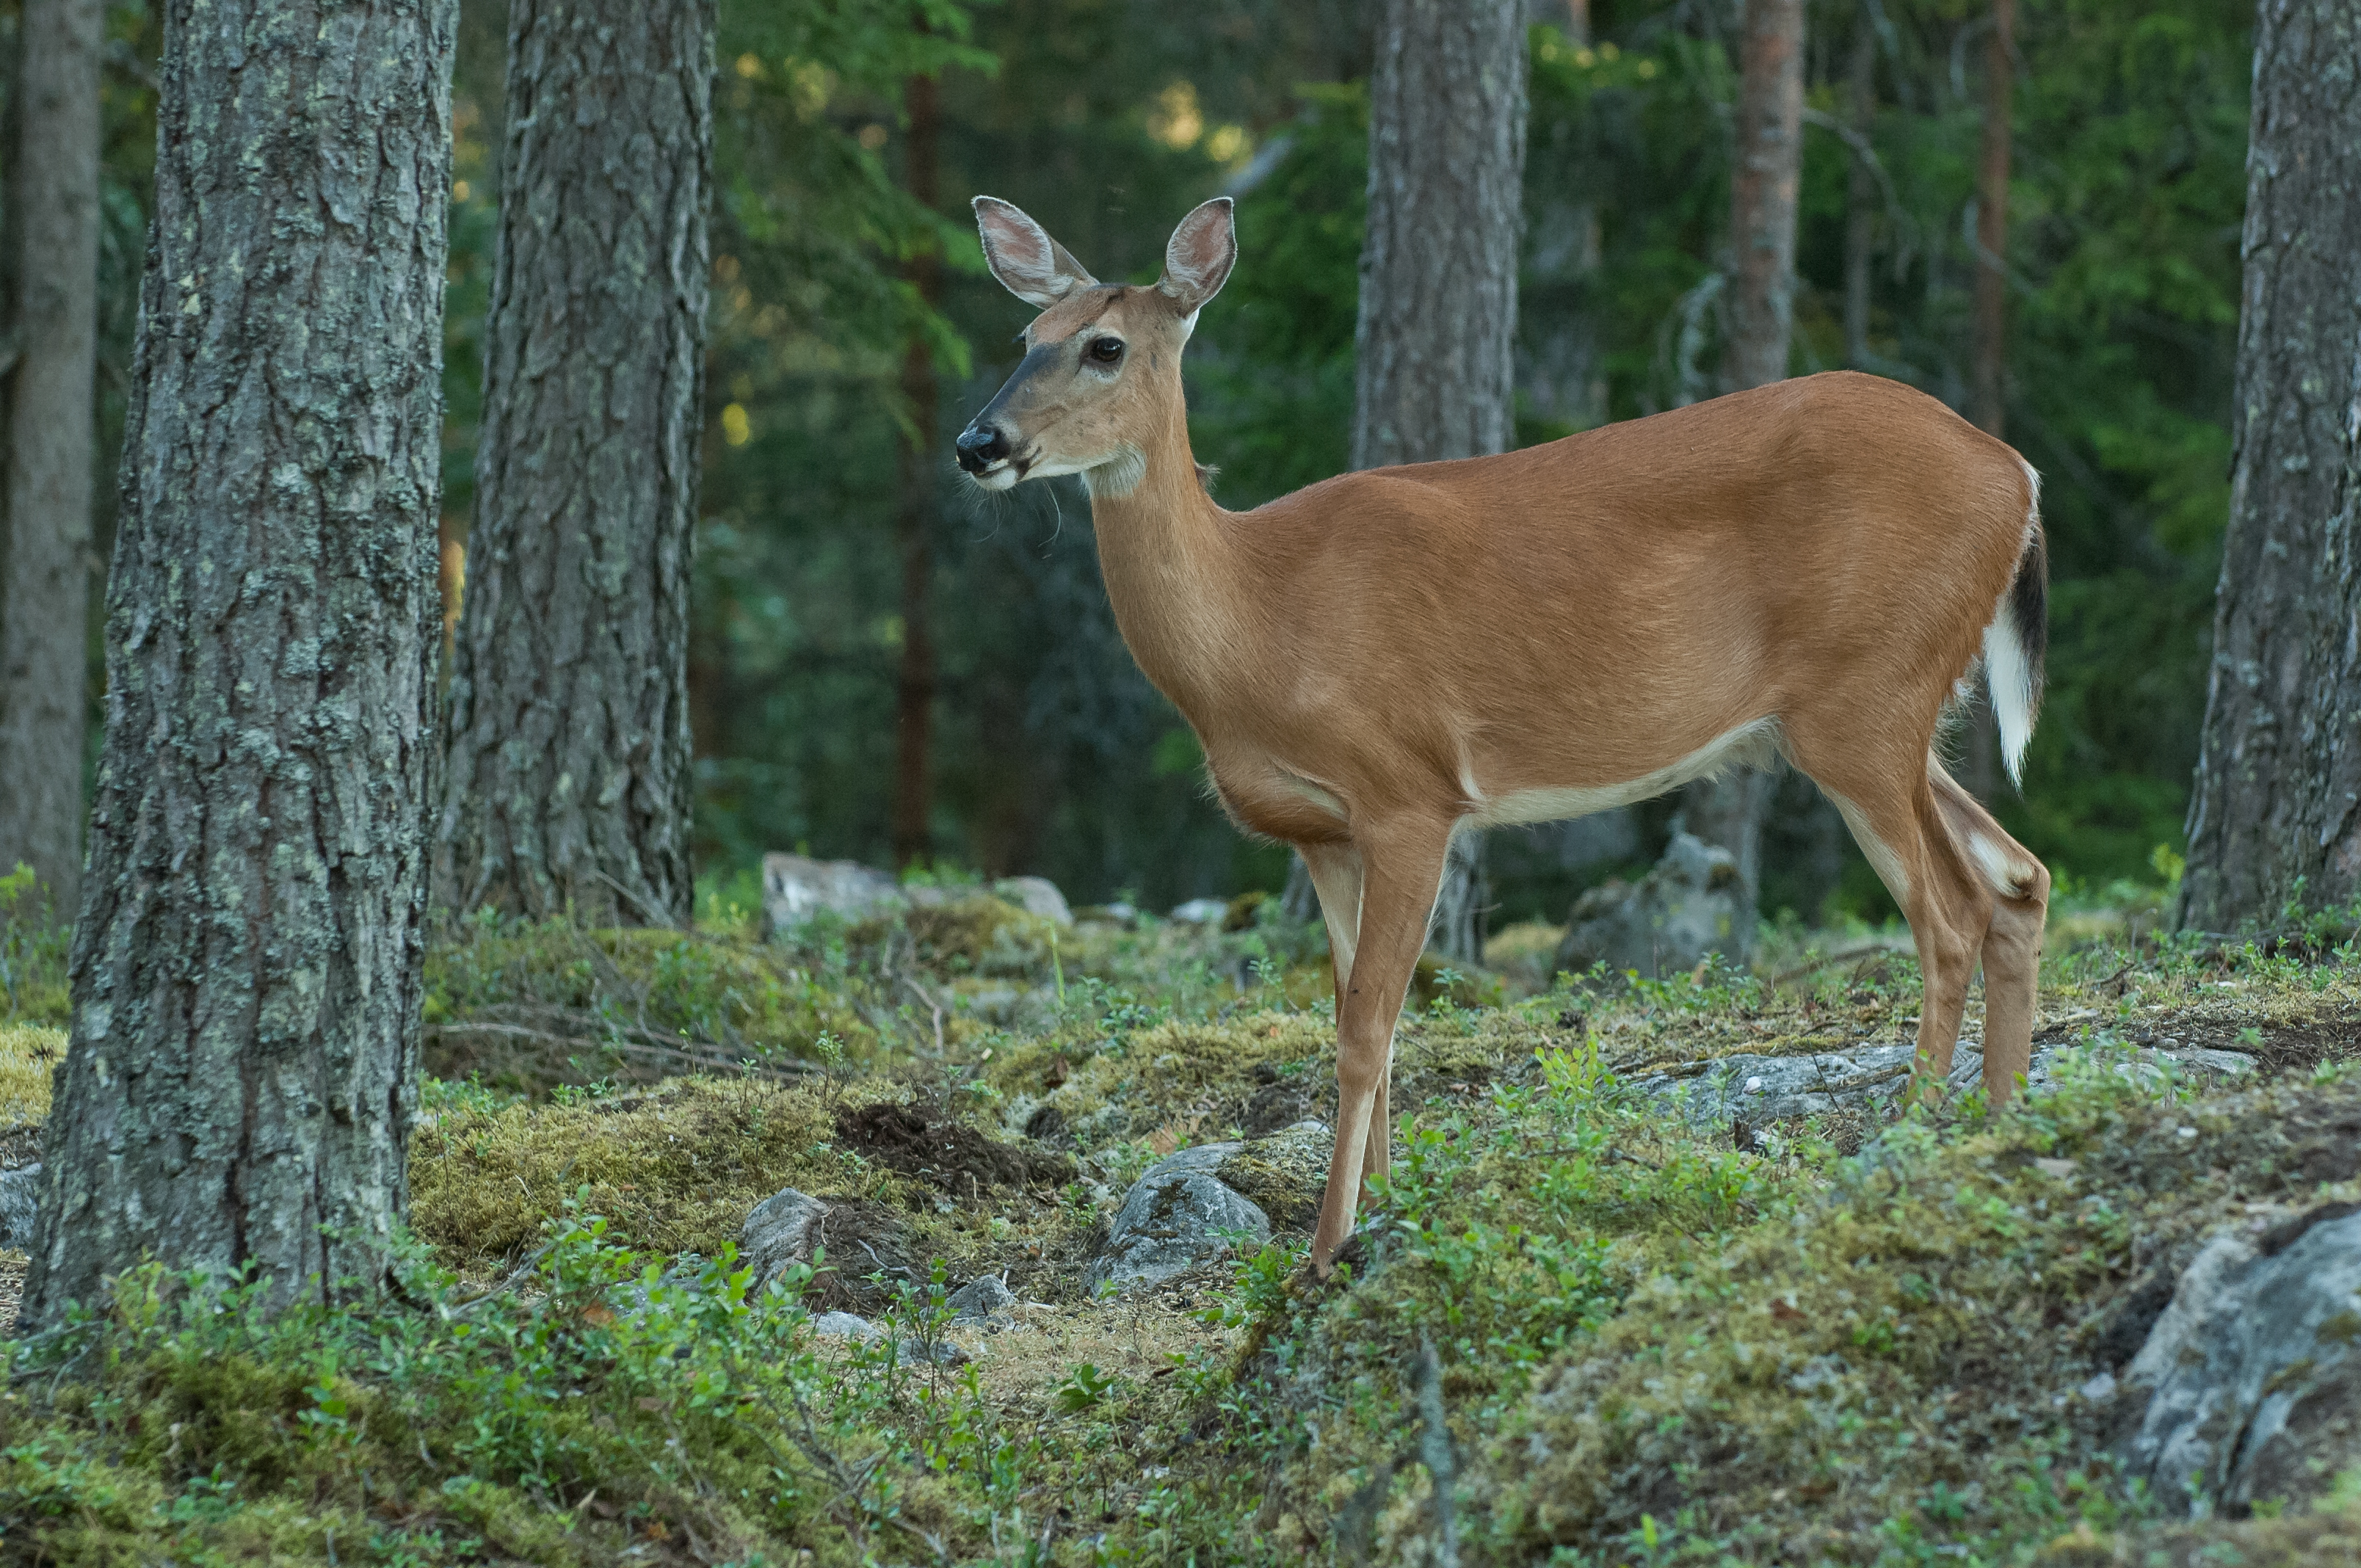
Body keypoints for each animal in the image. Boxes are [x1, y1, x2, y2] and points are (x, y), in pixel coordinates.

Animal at [954, 196, 2049, 1275]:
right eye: (1024, 339)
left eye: (1104, 346)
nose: (977, 443)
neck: (1259, 627)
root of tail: (2019, 474)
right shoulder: (1323, 832)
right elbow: (1362, 1016)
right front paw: (1385, 1207)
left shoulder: (1410, 793)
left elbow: (1368, 1027)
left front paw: (1328, 1248)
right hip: (1885, 712)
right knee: (2018, 879)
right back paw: (1996, 1132)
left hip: (1865, 700)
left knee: (1950, 915)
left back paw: (1904, 1146)